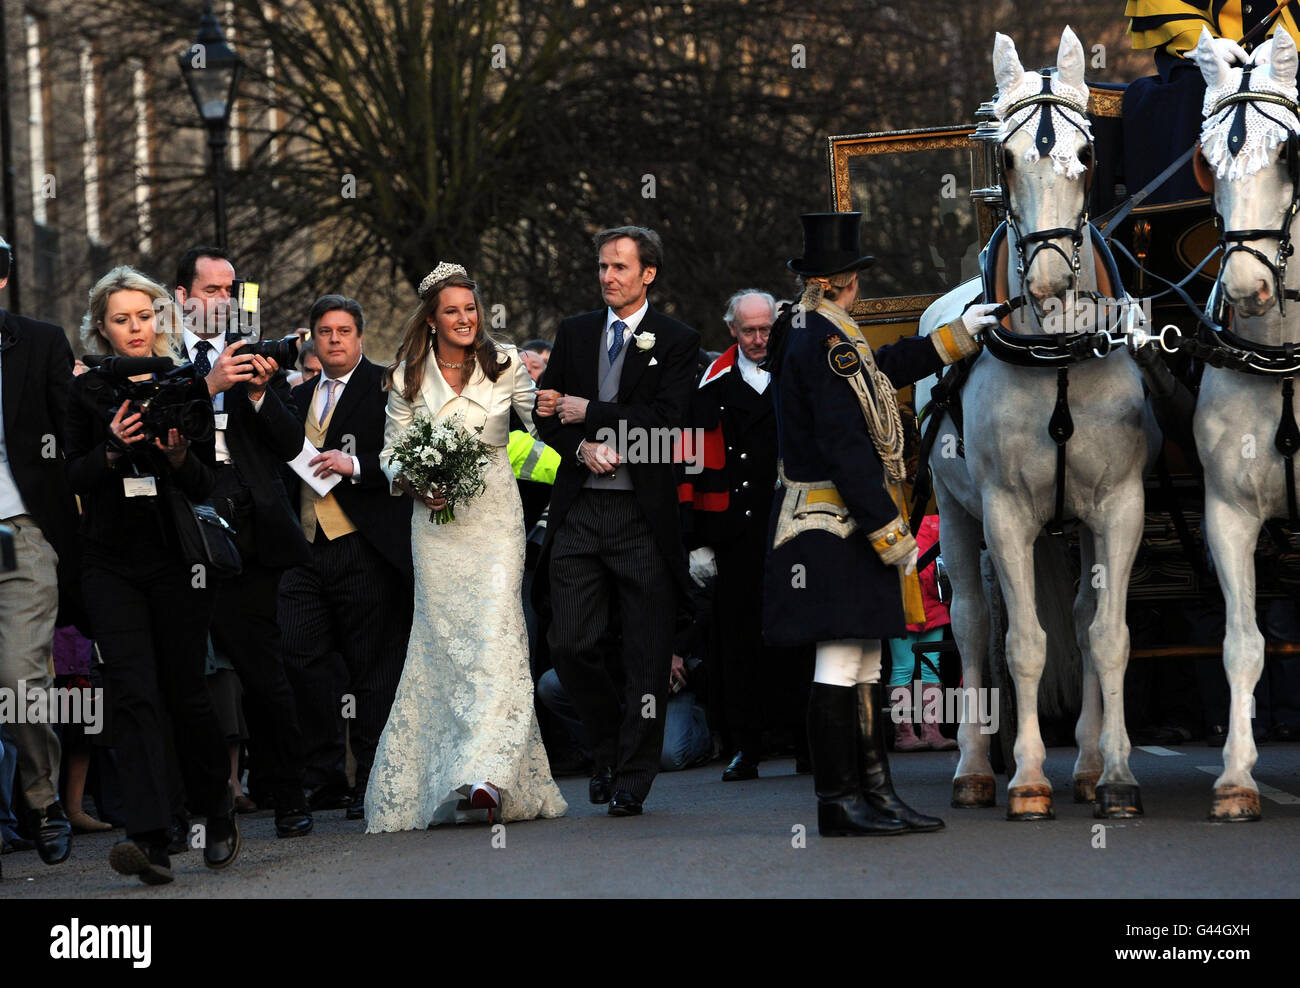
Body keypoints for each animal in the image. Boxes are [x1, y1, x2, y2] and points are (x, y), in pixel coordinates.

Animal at [915, 26, 1159, 821]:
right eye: (1008, 158)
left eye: (1087, 156)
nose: (1050, 280)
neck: (1057, 353)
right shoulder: (1005, 513)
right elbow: (1022, 642)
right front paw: (1026, 780)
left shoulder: (1119, 506)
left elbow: (1106, 636)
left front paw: (1115, 775)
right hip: (957, 515)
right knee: (971, 623)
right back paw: (974, 768)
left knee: (1079, 619)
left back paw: (1084, 763)